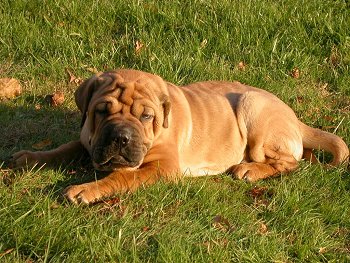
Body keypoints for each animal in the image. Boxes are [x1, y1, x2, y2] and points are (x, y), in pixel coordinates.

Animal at [9, 68, 348, 204]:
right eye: (102, 111)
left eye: (146, 117)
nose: (120, 137)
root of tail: (296, 119)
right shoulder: (89, 141)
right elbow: (63, 148)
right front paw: (29, 157)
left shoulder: (163, 167)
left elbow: (121, 177)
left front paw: (85, 190)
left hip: (252, 105)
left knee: (290, 162)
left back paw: (249, 169)